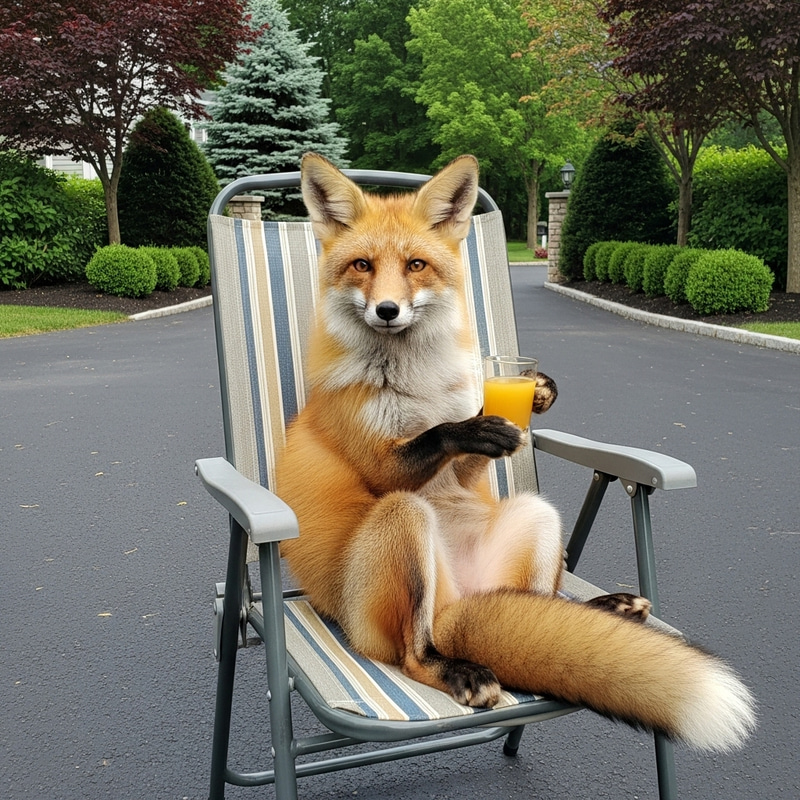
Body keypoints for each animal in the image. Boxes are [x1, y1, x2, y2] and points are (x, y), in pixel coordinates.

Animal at [275, 152, 756, 752]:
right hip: (401, 523)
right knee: (413, 654)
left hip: (535, 516)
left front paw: (538, 392)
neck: (414, 382)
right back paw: (458, 670)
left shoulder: (468, 470)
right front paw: (470, 427)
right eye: (362, 265)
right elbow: (435, 435)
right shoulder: (378, 464)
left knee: (539, 602)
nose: (387, 310)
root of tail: (459, 604)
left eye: (415, 265)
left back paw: (603, 609)